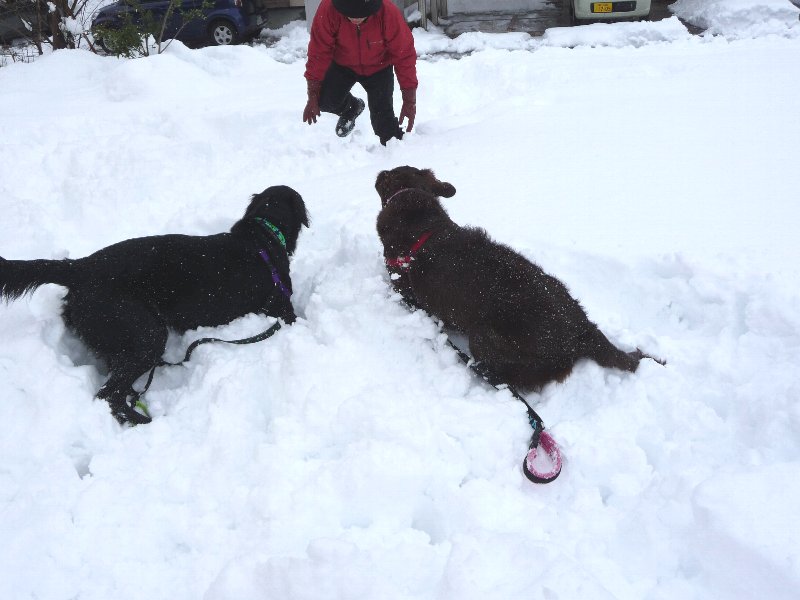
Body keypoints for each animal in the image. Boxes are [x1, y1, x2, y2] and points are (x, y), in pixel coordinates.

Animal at [0, 185, 309, 425]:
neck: (262, 235)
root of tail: (81, 267)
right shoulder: (282, 311)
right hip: (147, 334)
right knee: (108, 395)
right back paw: (143, 421)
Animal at [375, 166, 661, 392]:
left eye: (388, 174)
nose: (379, 173)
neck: (419, 217)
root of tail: (581, 331)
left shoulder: (404, 293)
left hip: (484, 337)